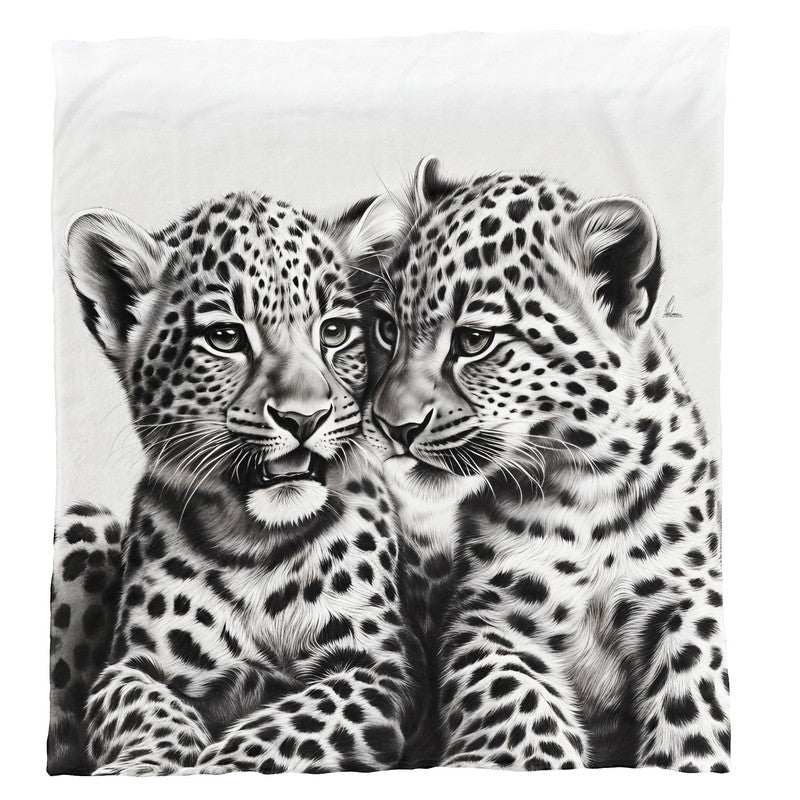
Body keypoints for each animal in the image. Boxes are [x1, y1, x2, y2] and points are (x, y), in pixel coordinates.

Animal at [59, 189, 427, 775]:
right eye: (225, 336)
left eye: (334, 332)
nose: (304, 418)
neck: (253, 544)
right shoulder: (132, 666)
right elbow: (147, 710)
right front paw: (139, 767)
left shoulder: (381, 664)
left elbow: (292, 723)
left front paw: (219, 766)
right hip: (81, 520)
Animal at [363, 157, 730, 772]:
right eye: (388, 330)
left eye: (474, 340)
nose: (394, 427)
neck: (592, 485)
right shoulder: (490, 608)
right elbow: (514, 699)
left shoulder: (688, 592)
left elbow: (699, 686)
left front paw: (693, 756)